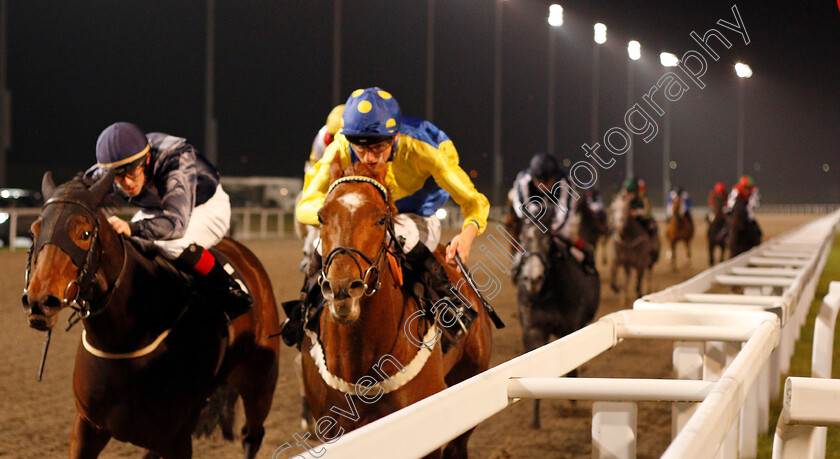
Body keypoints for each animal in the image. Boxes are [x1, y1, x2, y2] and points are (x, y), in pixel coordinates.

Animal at [19, 171, 280, 458]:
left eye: (85, 233)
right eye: (33, 232)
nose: (40, 301)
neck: (124, 341)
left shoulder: (177, 439)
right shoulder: (87, 427)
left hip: (259, 383)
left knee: (252, 435)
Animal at [516, 221, 600, 430]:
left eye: (547, 243)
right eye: (522, 239)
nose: (533, 279)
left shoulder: (572, 328)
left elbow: (572, 369)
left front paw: (572, 403)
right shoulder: (534, 330)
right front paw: (535, 419)